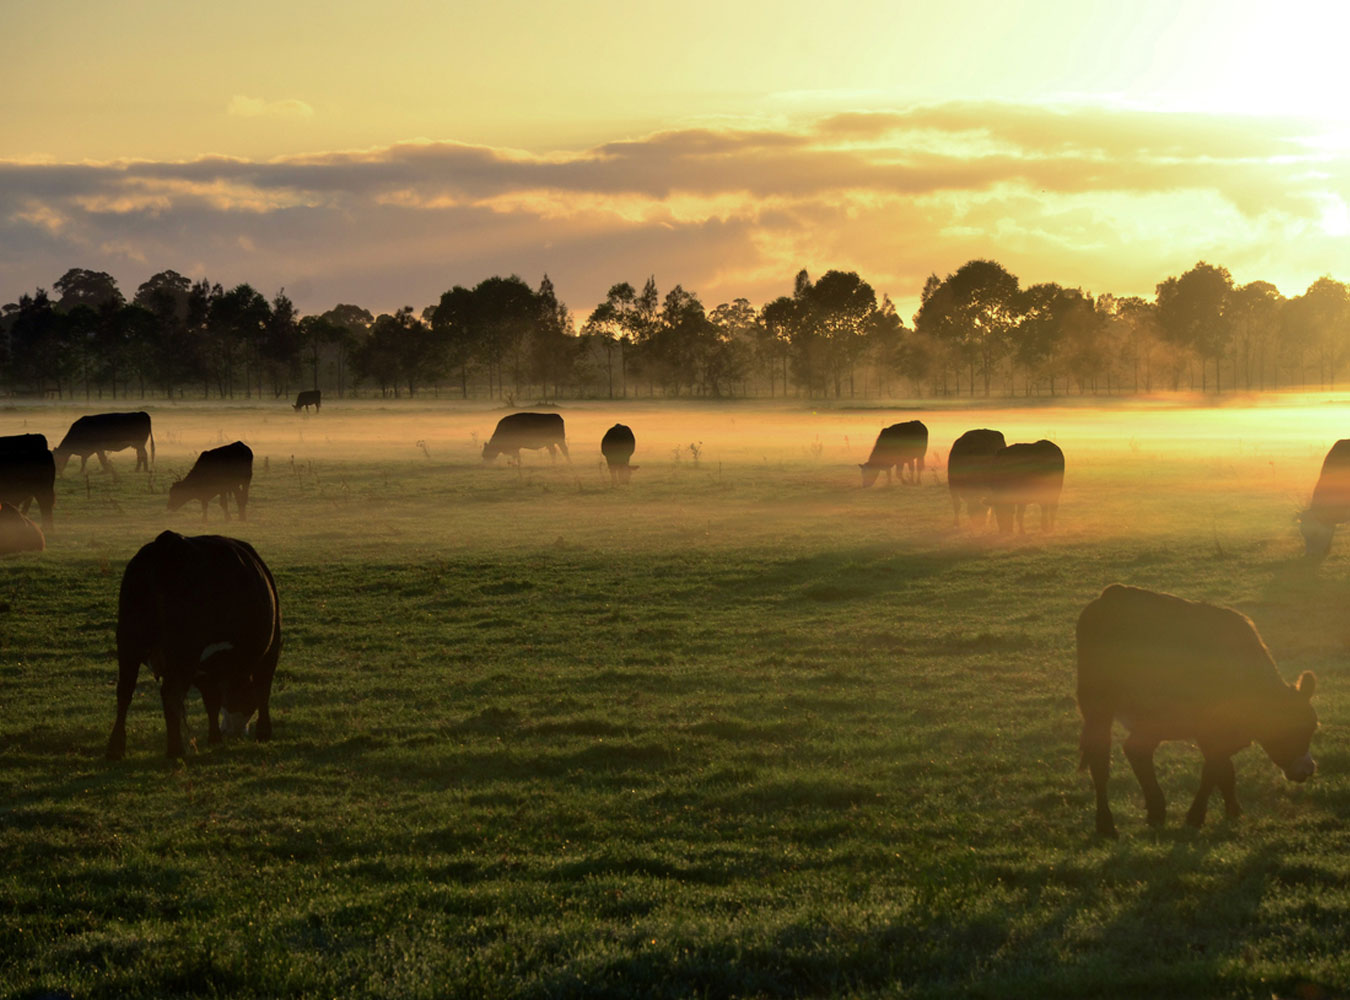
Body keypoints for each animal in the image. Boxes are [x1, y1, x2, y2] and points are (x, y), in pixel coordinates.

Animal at [107, 531, 282, 755]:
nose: (233, 732)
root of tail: (168, 543)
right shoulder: (270, 651)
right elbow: (262, 690)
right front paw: (263, 733)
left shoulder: (204, 670)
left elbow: (212, 700)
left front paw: (214, 738)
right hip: (183, 651)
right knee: (170, 694)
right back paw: (175, 750)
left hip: (129, 642)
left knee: (125, 691)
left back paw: (115, 748)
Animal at [1074, 580, 1317, 836]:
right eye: (1292, 730)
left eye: (1312, 728)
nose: (1308, 769)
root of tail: (1114, 593)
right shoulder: (1210, 730)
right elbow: (1214, 770)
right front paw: (1196, 816)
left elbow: (1225, 770)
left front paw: (1232, 810)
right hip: (1102, 706)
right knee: (1103, 759)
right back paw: (1107, 825)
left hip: (1148, 718)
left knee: (1135, 750)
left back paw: (1155, 811)